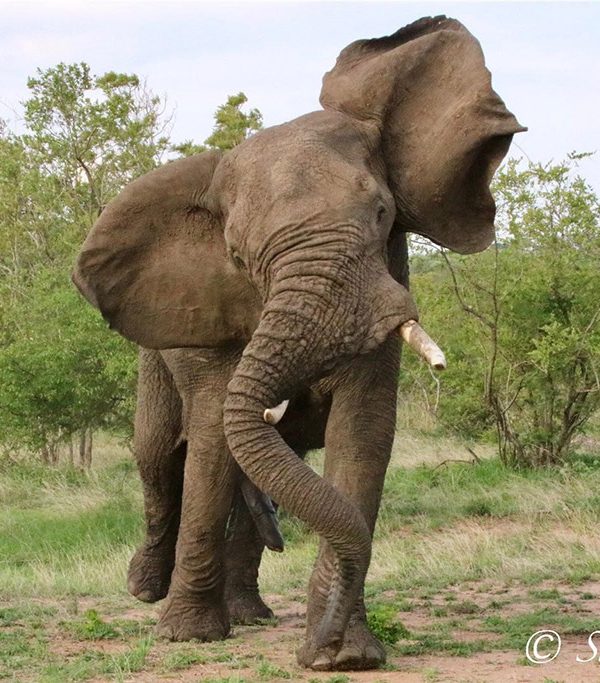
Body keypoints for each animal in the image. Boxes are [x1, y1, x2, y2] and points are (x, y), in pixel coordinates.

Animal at [72, 16, 524, 671]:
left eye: (383, 213)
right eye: (237, 256)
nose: (324, 644)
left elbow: (361, 438)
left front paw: (346, 657)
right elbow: (212, 441)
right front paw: (187, 637)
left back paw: (250, 615)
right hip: (152, 362)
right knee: (156, 459)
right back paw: (147, 589)